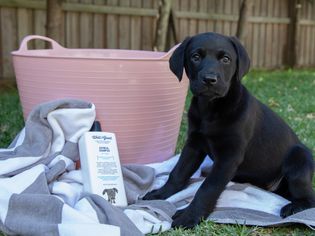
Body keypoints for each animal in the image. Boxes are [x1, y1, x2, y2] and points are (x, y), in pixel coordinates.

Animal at [144, 31, 315, 229]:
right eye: (195, 57)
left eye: (226, 59)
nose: (209, 80)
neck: (211, 109)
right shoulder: (194, 145)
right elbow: (178, 172)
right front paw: (160, 194)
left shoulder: (229, 157)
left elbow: (207, 188)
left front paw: (190, 216)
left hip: (299, 158)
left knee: (309, 197)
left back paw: (294, 207)